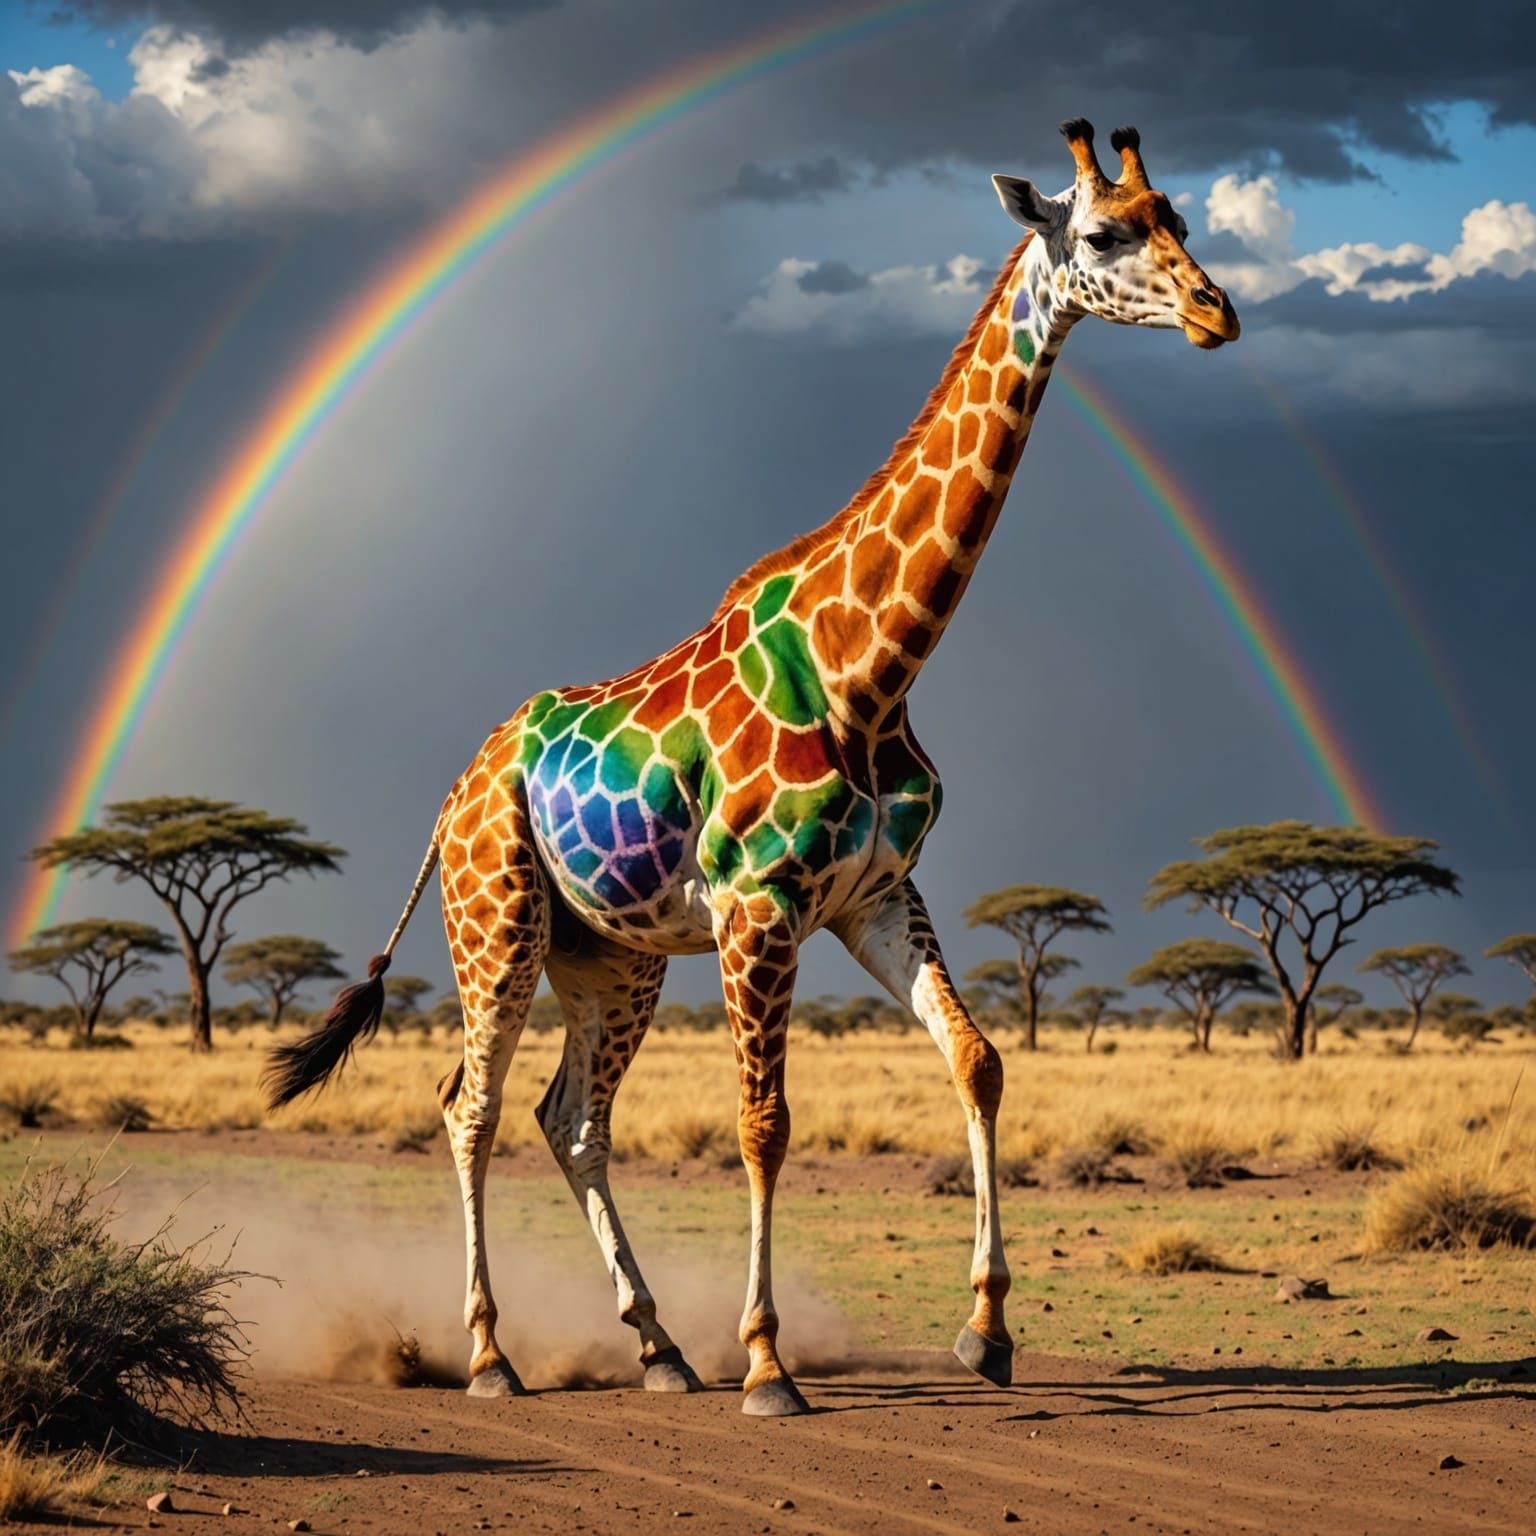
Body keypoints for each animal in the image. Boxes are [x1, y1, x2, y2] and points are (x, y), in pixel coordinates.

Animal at [265, 119, 1239, 1416]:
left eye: (1179, 216)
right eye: (1099, 233)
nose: (1218, 311)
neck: (870, 665)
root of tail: (452, 793)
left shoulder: (878, 894)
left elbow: (978, 1062)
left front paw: (985, 1332)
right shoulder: (757, 904)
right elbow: (764, 1121)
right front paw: (770, 1364)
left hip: (610, 958)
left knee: (569, 1119)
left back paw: (660, 1348)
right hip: (498, 925)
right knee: (469, 1108)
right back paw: (490, 1357)